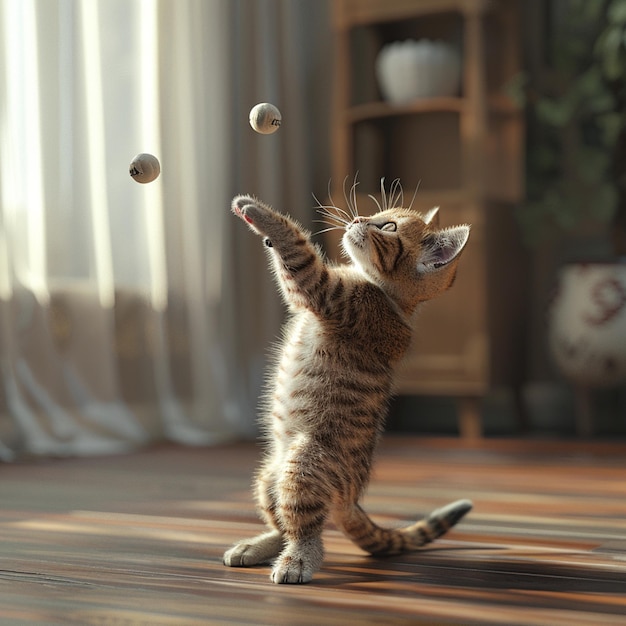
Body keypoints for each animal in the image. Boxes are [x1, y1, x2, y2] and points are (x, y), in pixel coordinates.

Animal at [223, 184, 468, 580]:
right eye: (379, 216)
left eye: (388, 227)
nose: (357, 218)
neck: (386, 295)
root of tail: (350, 499)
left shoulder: (327, 293)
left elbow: (297, 249)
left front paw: (258, 213)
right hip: (268, 475)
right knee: (283, 525)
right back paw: (261, 545)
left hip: (304, 465)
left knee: (307, 530)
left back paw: (297, 560)